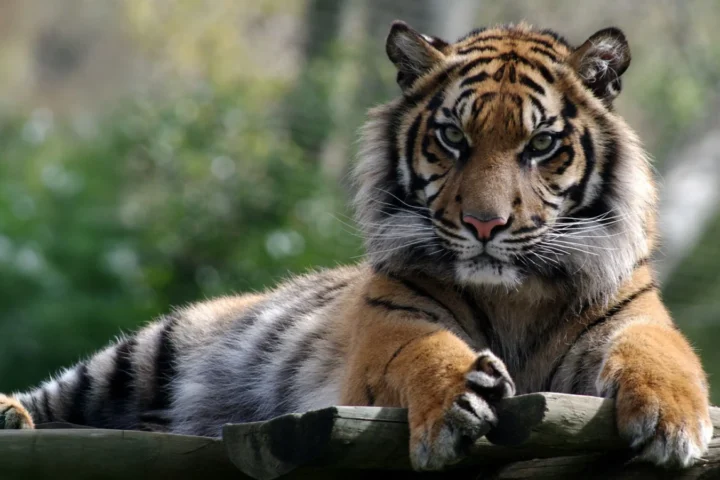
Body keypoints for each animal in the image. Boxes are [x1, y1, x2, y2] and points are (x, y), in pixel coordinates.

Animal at [0, 20, 712, 472]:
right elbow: (421, 352)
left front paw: (675, 422)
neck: (515, 296)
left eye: (540, 144)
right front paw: (457, 399)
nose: (484, 225)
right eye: (453, 138)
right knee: (60, 392)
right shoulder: (390, 330)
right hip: (154, 349)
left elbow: (664, 356)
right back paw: (12, 416)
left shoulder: (635, 319)